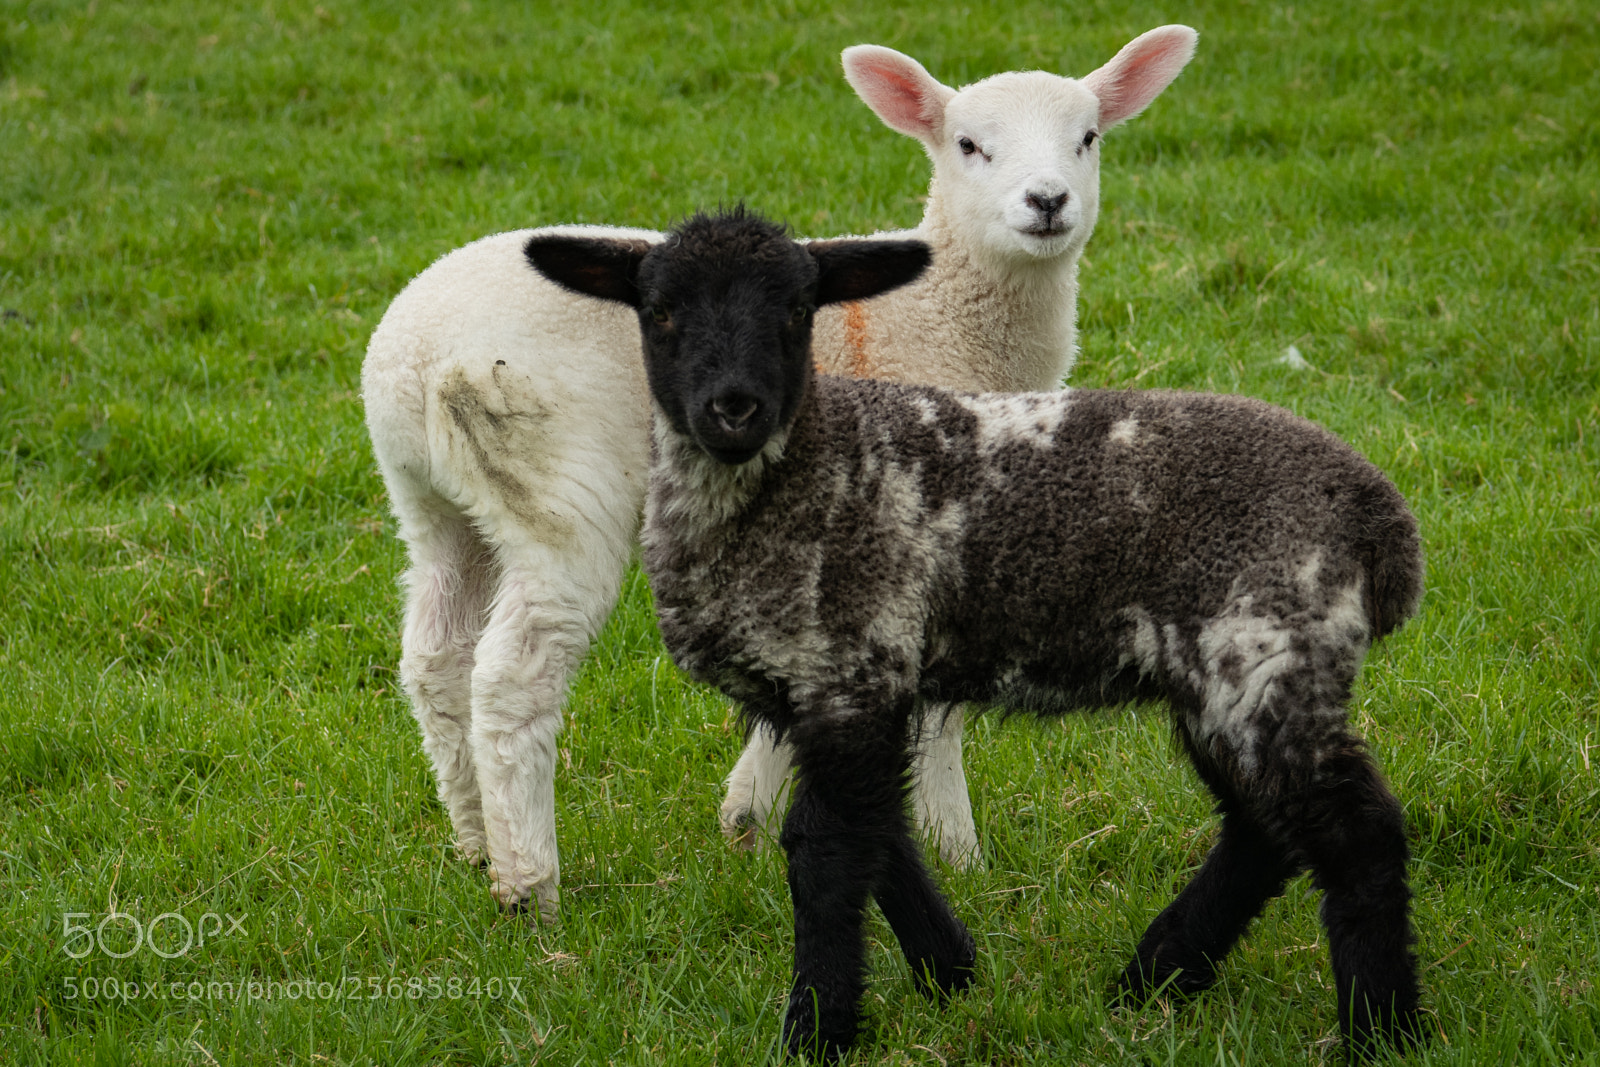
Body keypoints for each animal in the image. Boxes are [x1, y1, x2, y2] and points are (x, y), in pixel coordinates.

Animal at [360, 26, 1198, 917]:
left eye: (1089, 138)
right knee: (513, 676)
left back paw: (472, 840)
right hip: (559, 486)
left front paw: (746, 817)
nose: (1047, 201)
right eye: (969, 145)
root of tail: (418, 362)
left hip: (435, 501)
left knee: (436, 658)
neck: (933, 319)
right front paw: (958, 852)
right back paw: (530, 884)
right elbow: (936, 708)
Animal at [525, 207, 1426, 1061]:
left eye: (796, 310)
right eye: (661, 311)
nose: (734, 407)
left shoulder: (855, 660)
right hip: (1221, 673)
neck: (803, 469)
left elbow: (825, 850)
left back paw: (1382, 1030)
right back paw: (1156, 976)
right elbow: (882, 836)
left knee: (1358, 833)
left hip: (1270, 647)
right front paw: (949, 970)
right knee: (1263, 827)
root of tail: (1382, 518)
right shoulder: (830, 687)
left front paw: (819, 1028)